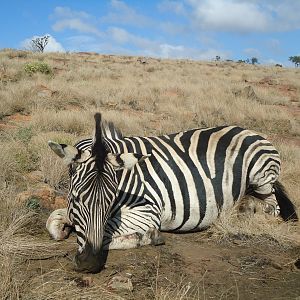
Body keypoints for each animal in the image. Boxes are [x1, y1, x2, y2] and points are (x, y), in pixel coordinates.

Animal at [47, 112, 298, 272]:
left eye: (110, 201)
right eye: (76, 199)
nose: (89, 264)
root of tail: (248, 129)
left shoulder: (147, 211)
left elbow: (109, 231)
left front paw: (147, 237)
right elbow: (53, 221)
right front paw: (63, 226)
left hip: (261, 174)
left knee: (272, 207)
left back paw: (244, 211)